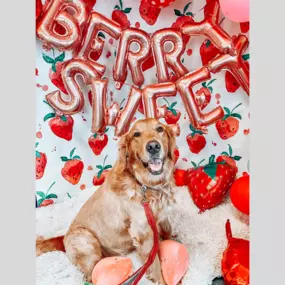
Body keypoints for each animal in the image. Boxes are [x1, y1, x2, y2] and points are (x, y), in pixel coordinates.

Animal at [36, 117, 178, 282]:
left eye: (160, 129)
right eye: (136, 134)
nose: (153, 147)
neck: (146, 185)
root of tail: (63, 238)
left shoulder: (163, 216)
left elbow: (168, 230)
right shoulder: (143, 233)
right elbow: (154, 263)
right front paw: (160, 279)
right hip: (86, 240)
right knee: (91, 276)